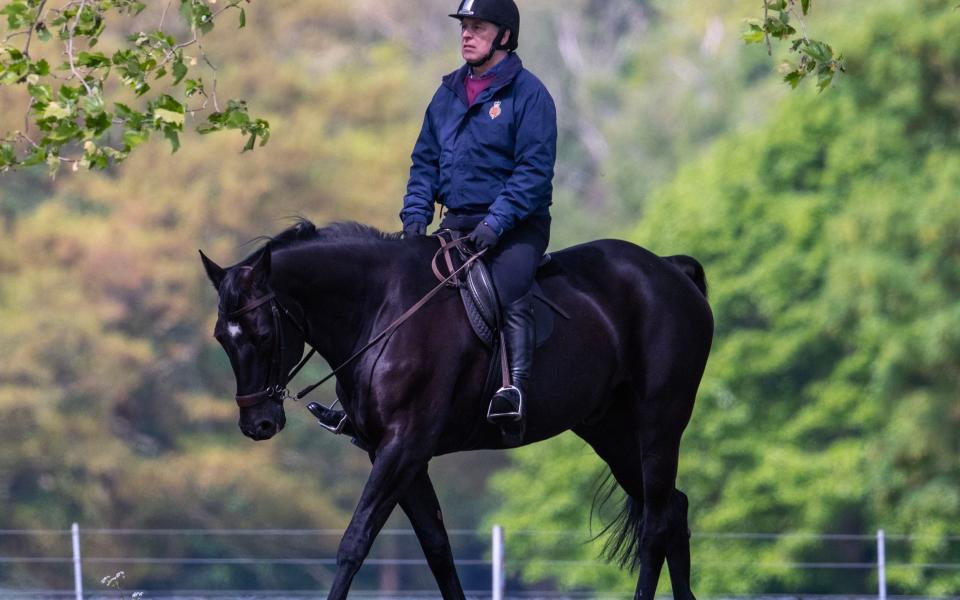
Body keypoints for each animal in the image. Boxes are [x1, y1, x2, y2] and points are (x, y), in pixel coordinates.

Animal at [201, 220, 712, 600]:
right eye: (222, 338)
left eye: (263, 334)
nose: (258, 423)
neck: (383, 309)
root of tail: (669, 270)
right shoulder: (395, 454)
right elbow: (437, 549)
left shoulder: (404, 447)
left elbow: (355, 541)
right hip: (610, 432)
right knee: (672, 511)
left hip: (659, 424)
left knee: (656, 525)